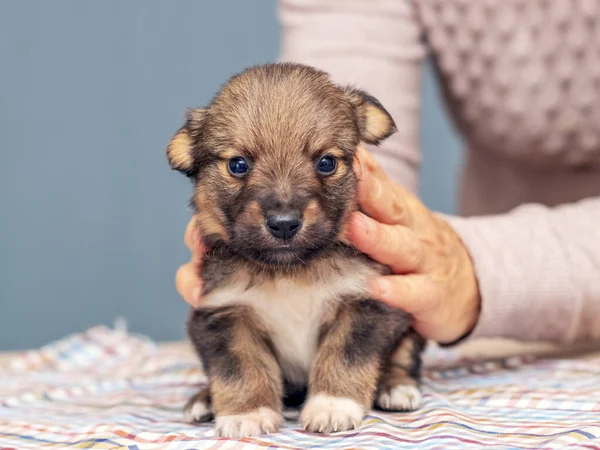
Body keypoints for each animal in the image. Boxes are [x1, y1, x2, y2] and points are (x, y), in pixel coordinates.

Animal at [166, 62, 424, 436]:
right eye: (238, 165)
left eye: (326, 162)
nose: (285, 224)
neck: (290, 270)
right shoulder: (223, 312)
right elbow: (239, 367)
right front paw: (246, 413)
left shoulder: (367, 302)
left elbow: (346, 354)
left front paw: (332, 405)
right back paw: (203, 399)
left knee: (402, 358)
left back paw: (396, 387)